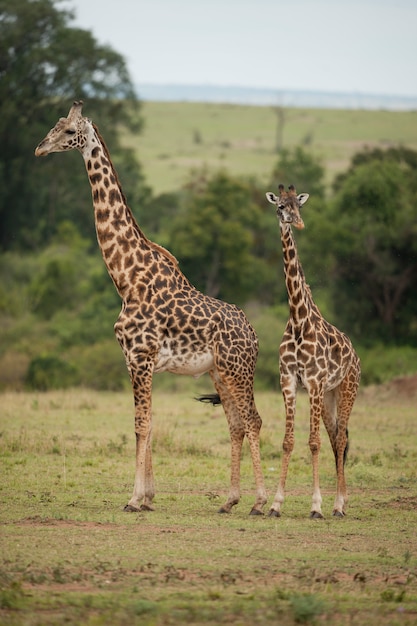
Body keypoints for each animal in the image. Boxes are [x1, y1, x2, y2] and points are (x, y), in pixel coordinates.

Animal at [35, 100, 266, 512]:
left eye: (68, 132)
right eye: (54, 126)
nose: (39, 149)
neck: (126, 278)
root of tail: (254, 336)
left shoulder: (140, 356)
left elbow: (140, 423)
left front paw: (133, 498)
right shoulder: (136, 360)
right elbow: (151, 421)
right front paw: (148, 498)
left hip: (238, 371)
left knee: (253, 421)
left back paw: (262, 502)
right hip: (219, 373)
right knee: (237, 424)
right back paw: (230, 500)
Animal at [266, 183, 360, 516]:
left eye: (300, 205)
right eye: (280, 206)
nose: (297, 223)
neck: (297, 319)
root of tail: (356, 355)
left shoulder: (315, 383)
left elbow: (313, 442)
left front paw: (316, 505)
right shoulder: (290, 382)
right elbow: (288, 441)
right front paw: (275, 504)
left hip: (346, 389)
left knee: (341, 439)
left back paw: (339, 505)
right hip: (330, 396)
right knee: (336, 437)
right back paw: (340, 501)